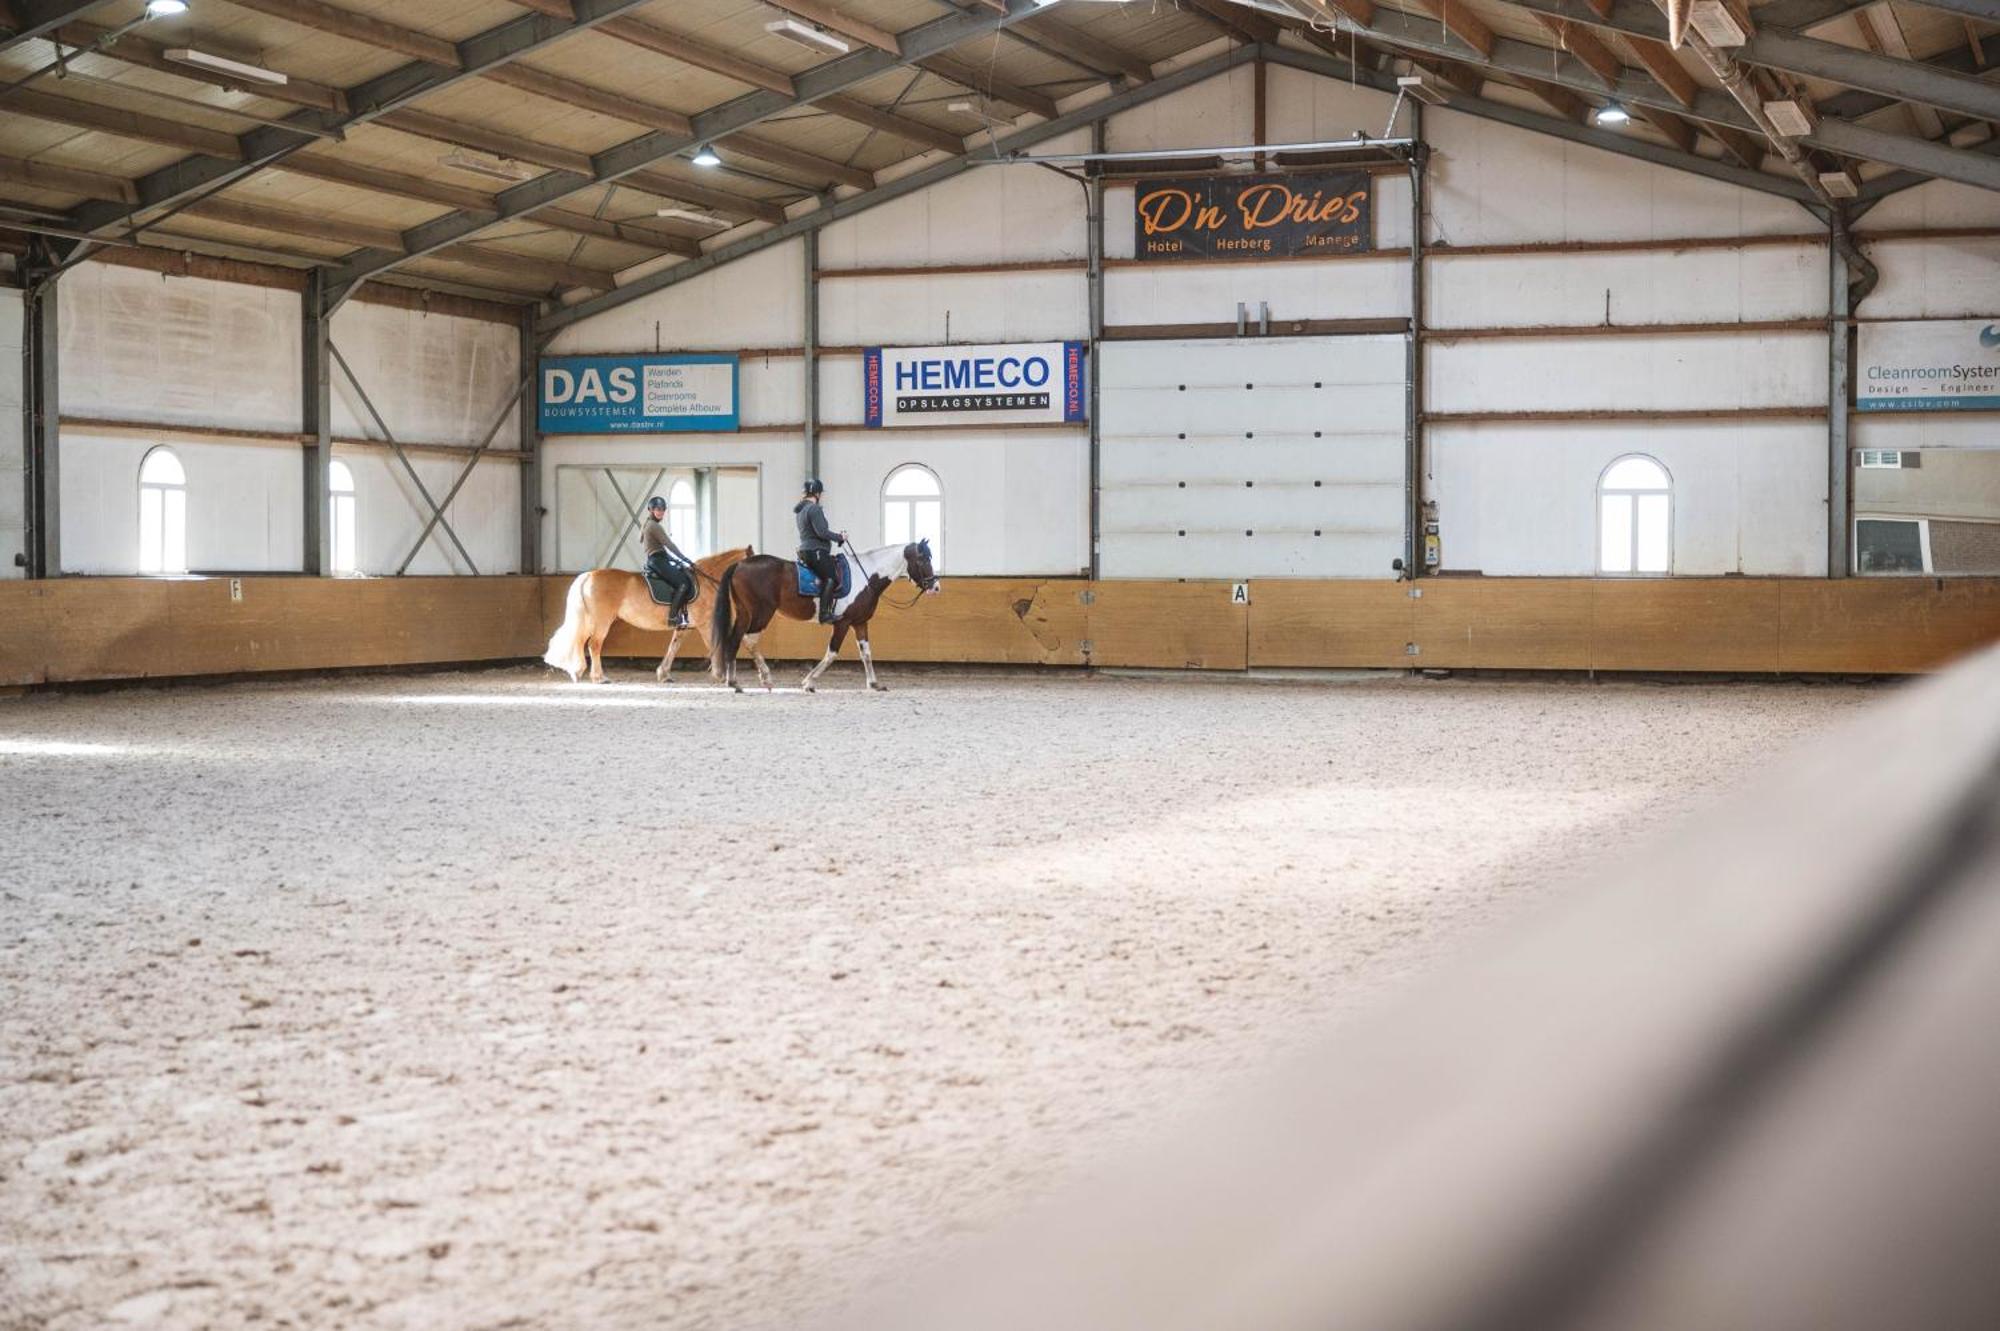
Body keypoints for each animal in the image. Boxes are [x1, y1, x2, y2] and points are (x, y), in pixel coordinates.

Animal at [544, 543, 752, 679]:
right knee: (594, 644)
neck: (707, 581)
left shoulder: (686, 626)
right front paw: (720, 674)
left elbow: (674, 646)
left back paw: (578, 671)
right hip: (602, 620)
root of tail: (589, 575)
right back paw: (599, 677)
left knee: (581, 641)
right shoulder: (704, 624)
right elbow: (713, 644)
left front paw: (663, 673)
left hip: (590, 620)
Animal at [708, 535, 940, 687]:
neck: (866, 576)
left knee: (734, 639)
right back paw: (765, 677)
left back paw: (733, 681)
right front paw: (809, 681)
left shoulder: (860, 622)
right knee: (749, 639)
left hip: (745, 612)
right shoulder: (843, 623)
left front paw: (874, 683)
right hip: (762, 612)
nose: (936, 587)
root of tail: (740, 564)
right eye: (923, 559)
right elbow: (832, 653)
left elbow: (866, 652)